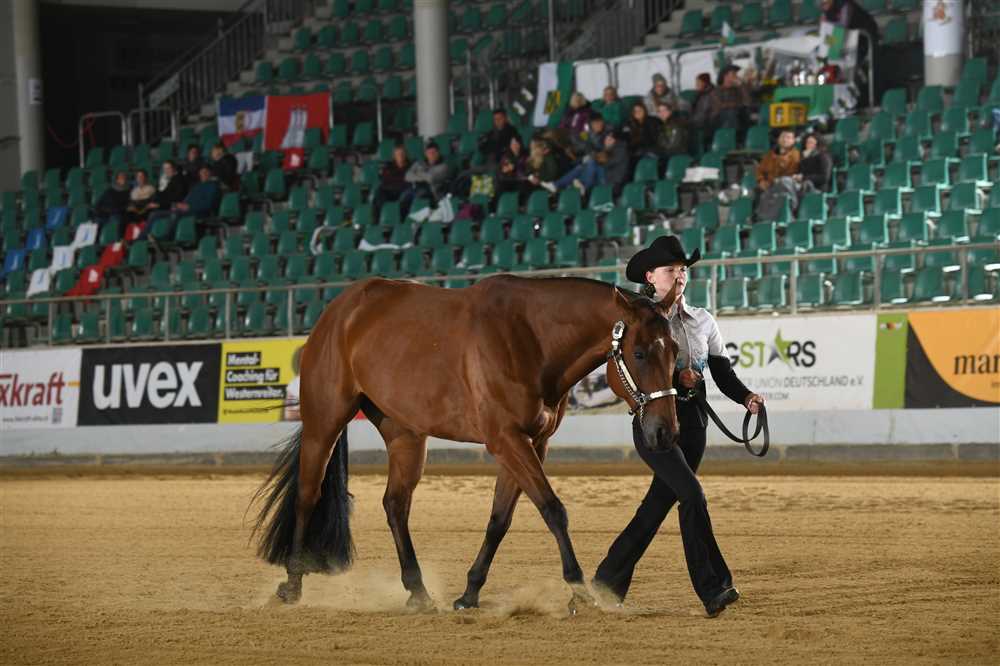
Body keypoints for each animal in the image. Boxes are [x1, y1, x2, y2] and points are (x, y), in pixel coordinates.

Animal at [250, 274, 682, 611]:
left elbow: (500, 519)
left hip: (405, 435)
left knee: (395, 505)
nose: (665, 432)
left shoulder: (530, 443)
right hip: (324, 423)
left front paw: (470, 593)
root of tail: (340, 310)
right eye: (639, 352)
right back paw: (292, 585)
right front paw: (579, 590)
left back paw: (418, 592)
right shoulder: (507, 439)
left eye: (675, 350)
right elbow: (553, 509)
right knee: (308, 495)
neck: (529, 338)